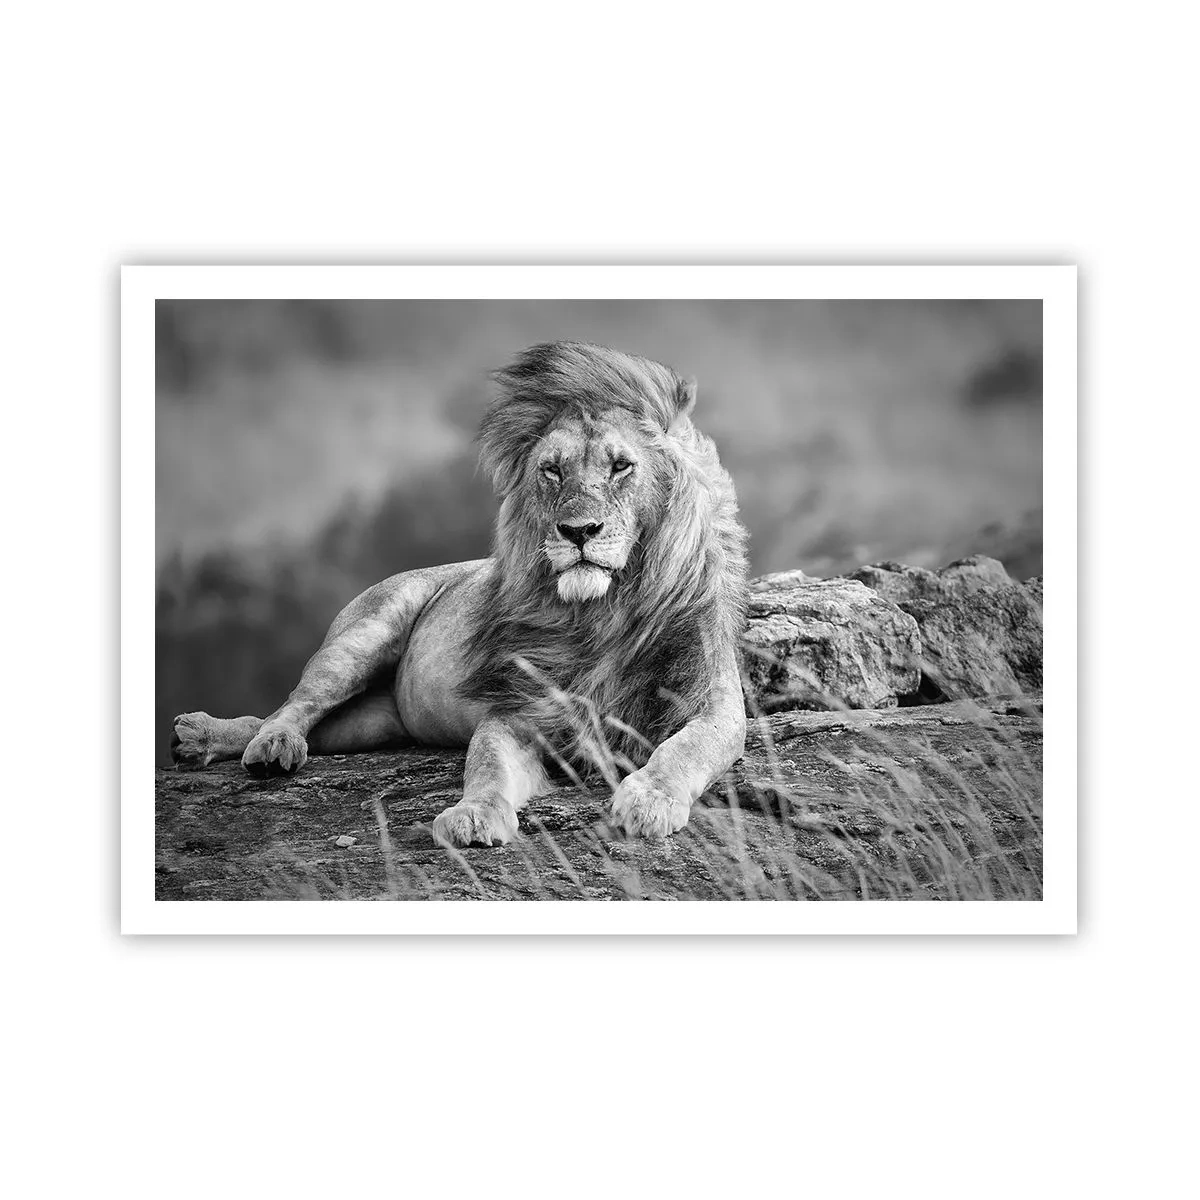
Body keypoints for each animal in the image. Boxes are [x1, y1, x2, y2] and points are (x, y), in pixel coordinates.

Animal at [171, 341, 749, 846]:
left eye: (621, 465)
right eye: (552, 470)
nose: (577, 531)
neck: (602, 613)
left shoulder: (714, 704)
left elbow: (685, 749)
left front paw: (649, 800)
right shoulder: (518, 710)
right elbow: (486, 765)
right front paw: (473, 816)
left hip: (372, 724)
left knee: (295, 721)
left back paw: (205, 739)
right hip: (361, 636)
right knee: (294, 705)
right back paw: (254, 743)